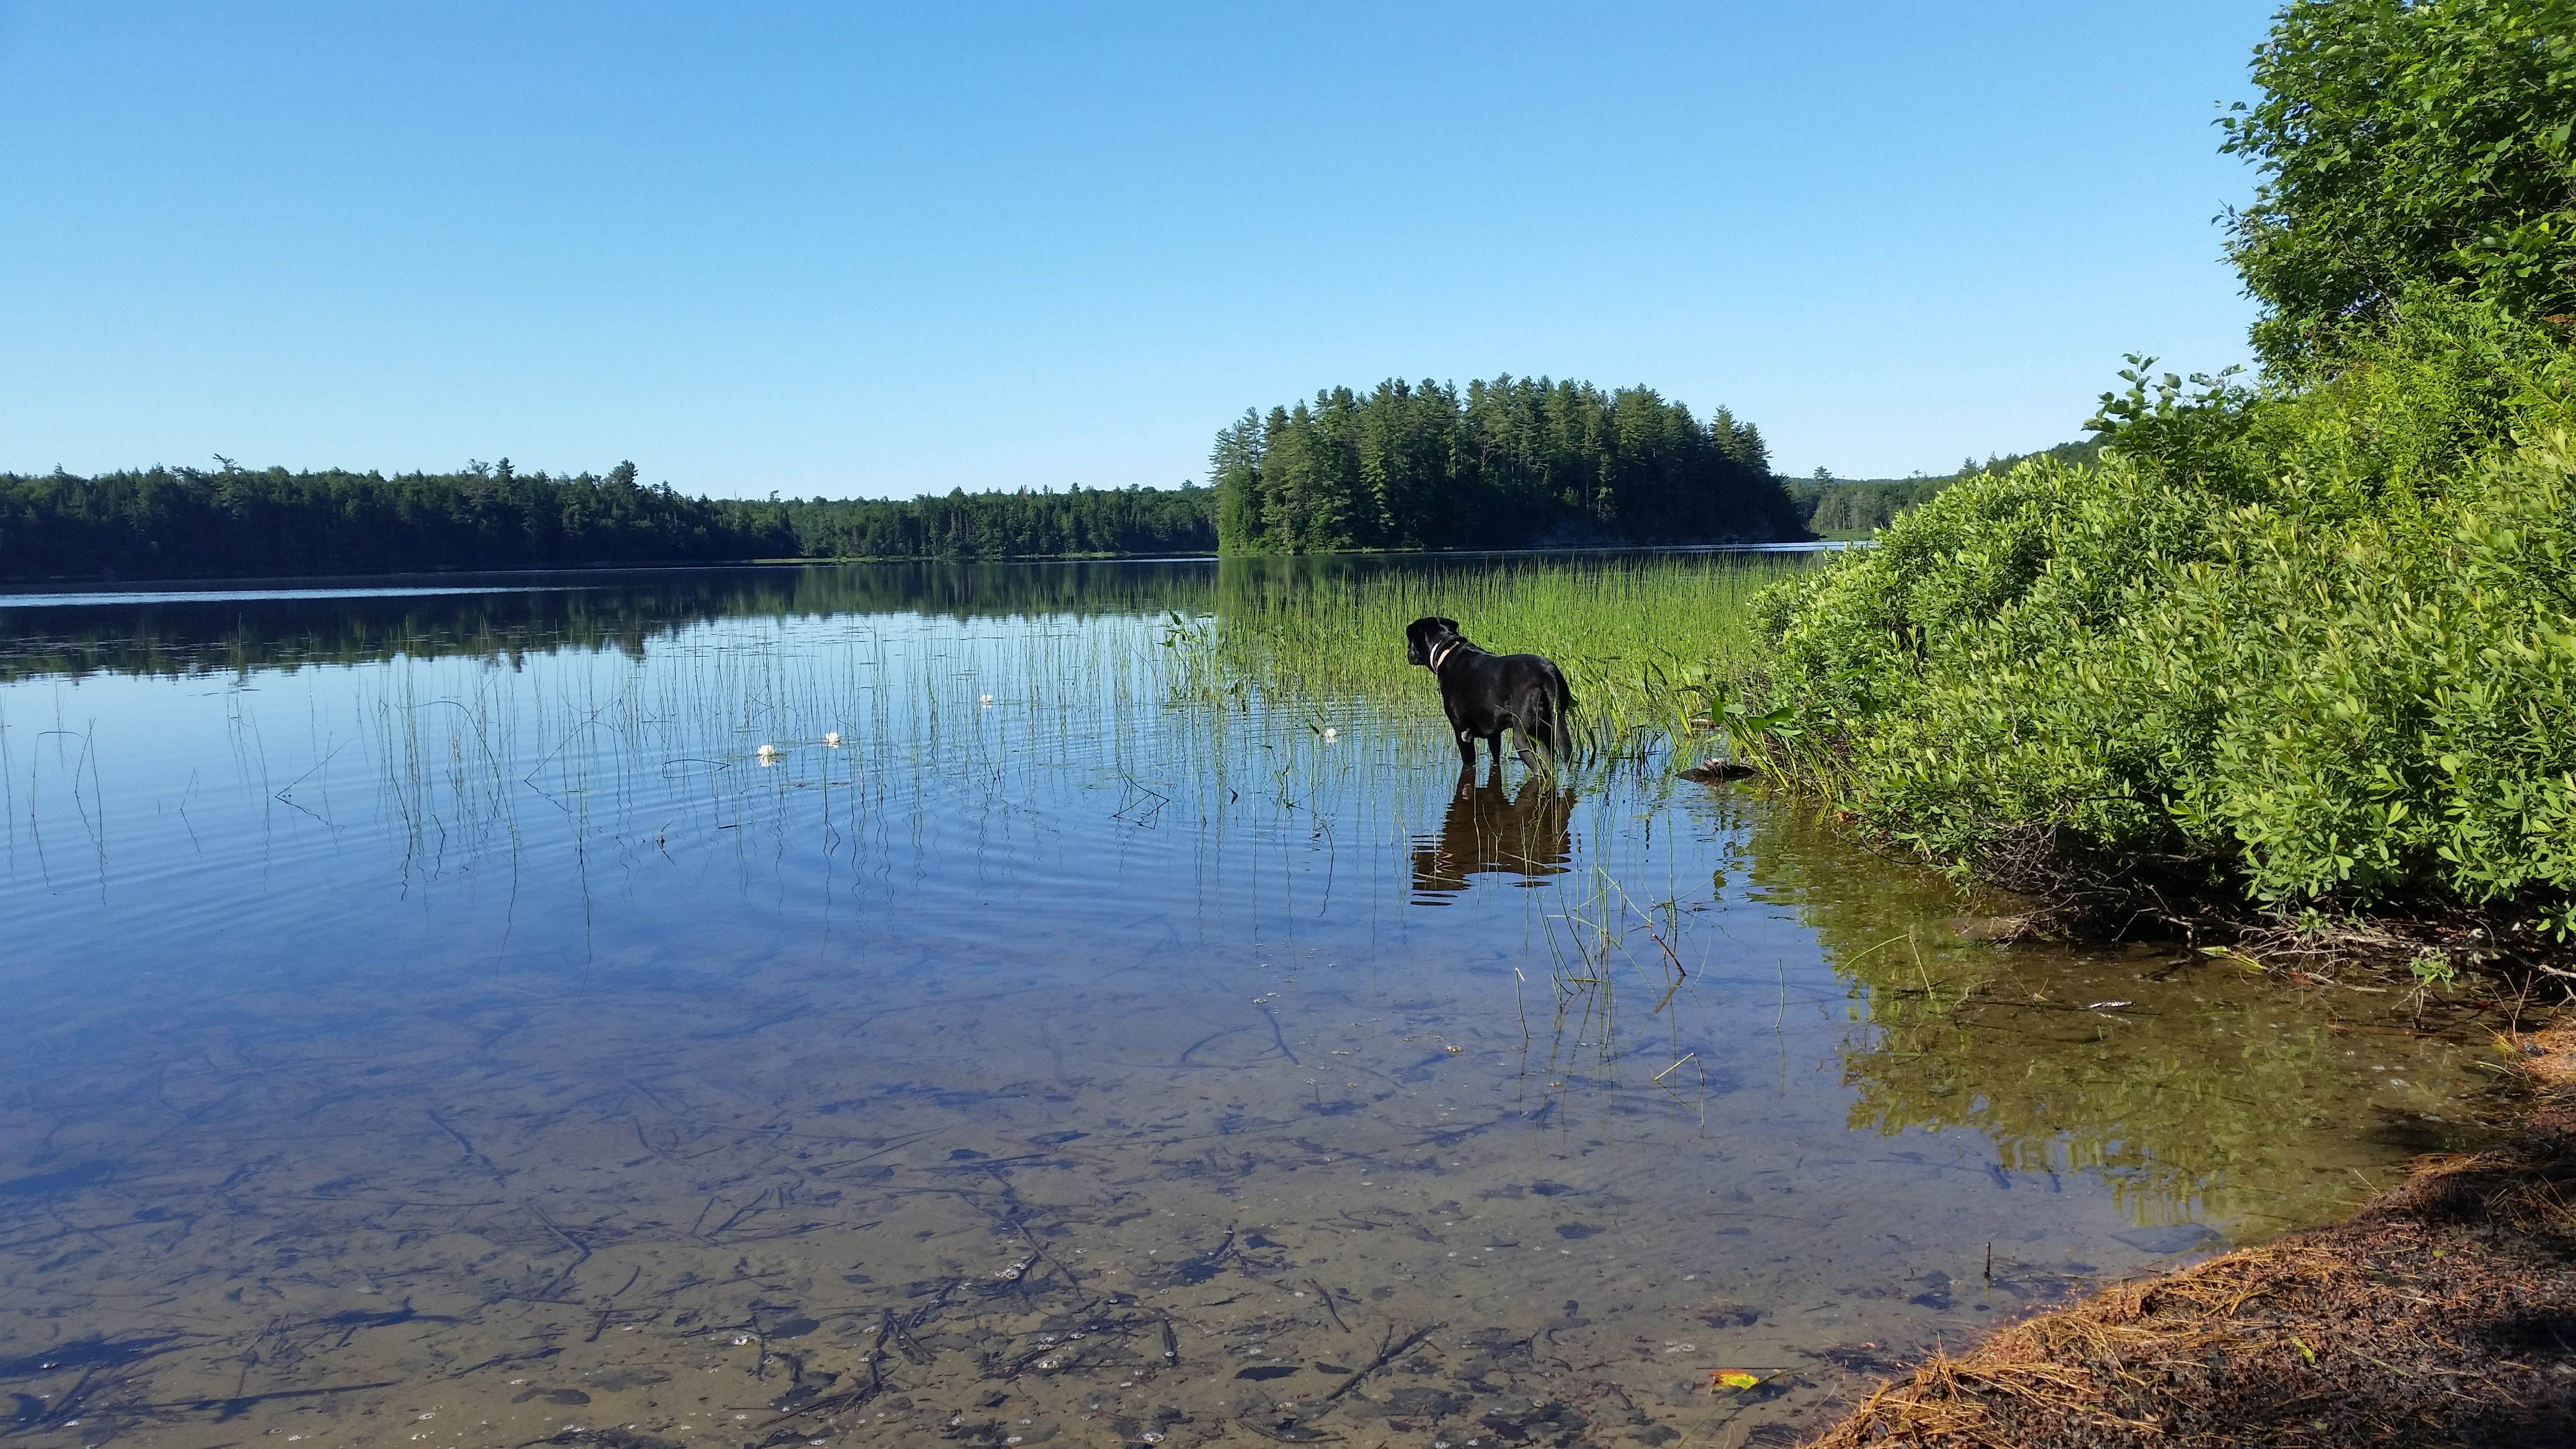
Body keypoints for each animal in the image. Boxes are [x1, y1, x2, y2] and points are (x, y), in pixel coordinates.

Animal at [1411, 608, 1566, 768]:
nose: (1408, 653)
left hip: (1522, 738)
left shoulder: (1463, 732)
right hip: (1548, 733)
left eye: (1411, 641)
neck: (1447, 651)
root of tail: (1547, 674)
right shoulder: (1494, 735)